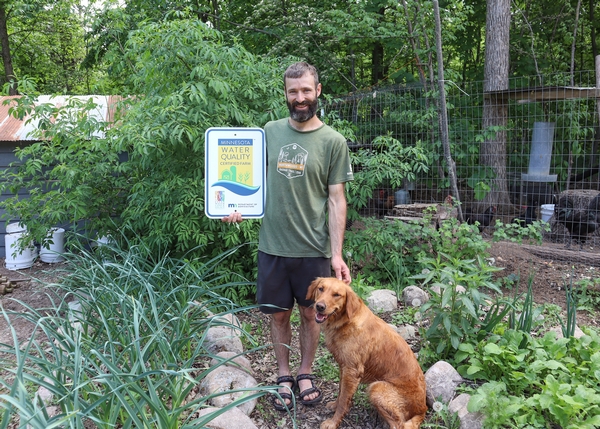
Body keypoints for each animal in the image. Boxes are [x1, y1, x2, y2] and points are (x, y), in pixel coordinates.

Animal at [308, 278, 428, 428]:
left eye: (336, 295)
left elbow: (343, 400)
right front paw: (334, 405)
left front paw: (334, 422)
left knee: (399, 425)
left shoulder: (352, 371)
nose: (319, 306)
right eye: (321, 289)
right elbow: (341, 392)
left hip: (376, 388)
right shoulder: (344, 367)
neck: (346, 321)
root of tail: (423, 409)